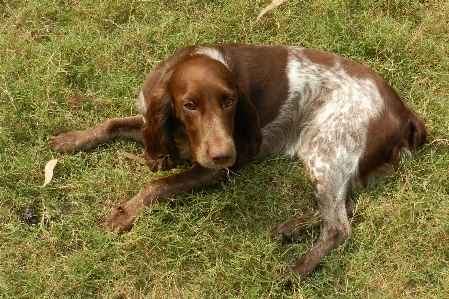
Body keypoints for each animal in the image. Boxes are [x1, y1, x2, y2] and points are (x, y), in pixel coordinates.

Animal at [50, 44, 426, 278]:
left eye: (230, 101)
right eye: (189, 105)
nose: (223, 154)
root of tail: (404, 111)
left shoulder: (212, 172)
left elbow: (156, 186)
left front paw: (124, 213)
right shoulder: (152, 123)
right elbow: (110, 124)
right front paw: (71, 139)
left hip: (327, 150)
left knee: (338, 227)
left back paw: (293, 271)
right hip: (325, 157)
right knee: (340, 206)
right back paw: (290, 229)